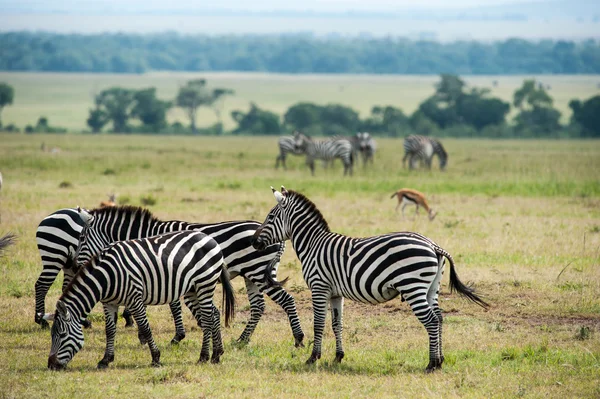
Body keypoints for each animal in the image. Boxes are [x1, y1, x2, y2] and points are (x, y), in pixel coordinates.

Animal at [42, 231, 233, 372]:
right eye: (51, 335)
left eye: (62, 335)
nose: (51, 366)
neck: (106, 278)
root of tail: (209, 238)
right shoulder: (109, 302)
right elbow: (109, 330)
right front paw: (105, 360)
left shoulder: (134, 298)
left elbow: (146, 328)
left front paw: (156, 358)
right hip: (194, 288)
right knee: (214, 314)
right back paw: (217, 354)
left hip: (204, 283)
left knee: (207, 318)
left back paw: (203, 356)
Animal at [72, 206, 302, 346]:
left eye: (82, 238)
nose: (74, 265)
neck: (147, 236)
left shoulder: (165, 270)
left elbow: (173, 306)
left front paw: (176, 336)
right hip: (252, 275)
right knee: (258, 307)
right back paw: (242, 340)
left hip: (259, 272)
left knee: (287, 300)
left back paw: (298, 338)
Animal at [251, 187, 490, 372]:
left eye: (270, 217)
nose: (254, 242)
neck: (313, 245)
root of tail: (433, 245)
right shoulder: (335, 293)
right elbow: (337, 324)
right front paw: (338, 357)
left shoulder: (319, 287)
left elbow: (318, 323)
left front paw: (313, 358)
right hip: (431, 288)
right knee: (439, 318)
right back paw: (440, 361)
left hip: (413, 287)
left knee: (431, 321)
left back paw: (431, 364)